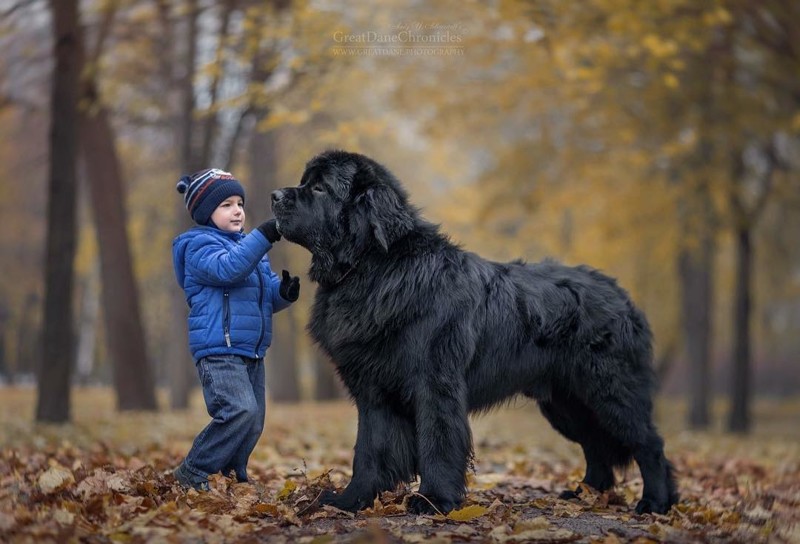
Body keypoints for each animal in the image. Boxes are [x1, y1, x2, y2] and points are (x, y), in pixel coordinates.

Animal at [272, 149, 680, 516]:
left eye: (320, 188)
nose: (275, 195)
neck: (375, 268)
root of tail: (621, 294)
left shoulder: (435, 384)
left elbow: (436, 442)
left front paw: (434, 500)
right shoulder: (373, 390)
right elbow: (369, 450)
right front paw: (349, 501)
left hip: (610, 390)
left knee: (649, 443)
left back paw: (655, 503)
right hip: (566, 402)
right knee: (595, 446)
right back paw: (586, 494)